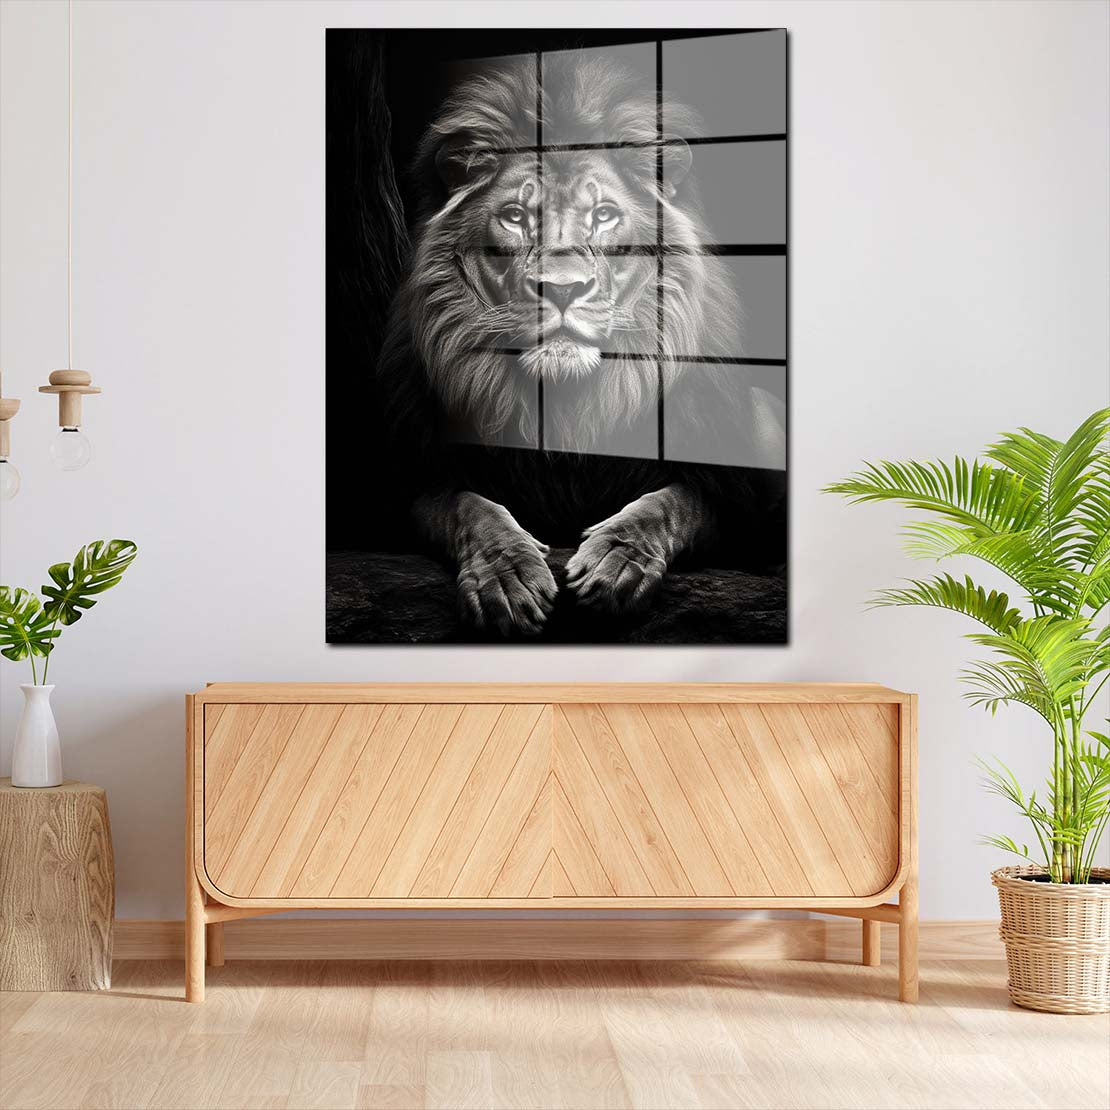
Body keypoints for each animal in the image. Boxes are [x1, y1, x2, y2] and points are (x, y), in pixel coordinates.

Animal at [375, 53, 785, 636]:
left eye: (604, 215)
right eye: (516, 217)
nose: (562, 289)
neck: (567, 405)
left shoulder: (728, 497)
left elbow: (670, 503)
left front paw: (618, 559)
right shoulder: (417, 481)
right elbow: (470, 507)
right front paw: (508, 576)